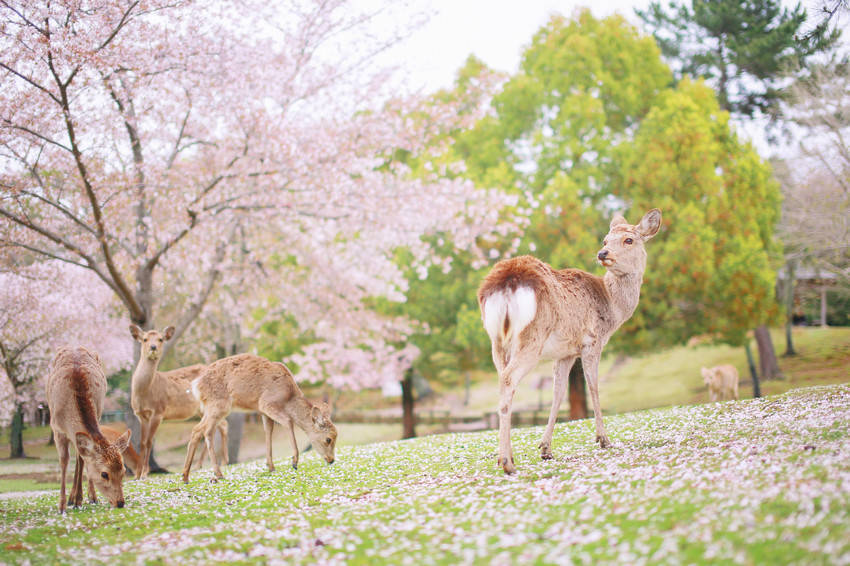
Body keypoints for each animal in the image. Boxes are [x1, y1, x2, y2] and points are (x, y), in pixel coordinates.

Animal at [45, 346, 130, 516]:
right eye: (104, 474)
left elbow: (82, 459)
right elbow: (64, 460)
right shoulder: (56, 428)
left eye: (124, 471)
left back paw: (85, 497)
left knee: (81, 457)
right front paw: (61, 506)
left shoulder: (97, 414)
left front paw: (79, 499)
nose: (120, 503)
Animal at [126, 326, 225, 482]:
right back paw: (202, 465)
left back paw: (221, 463)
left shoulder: (158, 411)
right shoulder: (141, 415)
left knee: (221, 425)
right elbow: (142, 442)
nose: (153, 347)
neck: (144, 393)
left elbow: (149, 441)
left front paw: (144, 474)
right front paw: (136, 475)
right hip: (202, 409)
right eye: (145, 339)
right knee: (216, 427)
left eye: (161, 339)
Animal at [183, 356, 338, 484]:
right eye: (328, 439)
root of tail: (196, 385)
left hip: (210, 406)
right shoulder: (266, 403)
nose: (331, 460)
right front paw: (294, 462)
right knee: (207, 431)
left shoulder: (263, 411)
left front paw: (271, 466)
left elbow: (268, 431)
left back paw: (186, 476)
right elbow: (288, 421)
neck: (288, 397)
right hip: (219, 404)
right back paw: (218, 473)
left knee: (197, 429)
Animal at [476, 209, 664, 474]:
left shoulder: (565, 352)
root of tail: (506, 283)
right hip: (532, 336)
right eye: (606, 240)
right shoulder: (592, 341)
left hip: (495, 339)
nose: (603, 253)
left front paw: (545, 448)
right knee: (509, 378)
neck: (613, 309)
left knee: (502, 379)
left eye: (628, 240)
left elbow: (558, 393)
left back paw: (507, 456)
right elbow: (593, 386)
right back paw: (507, 463)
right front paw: (603, 439)